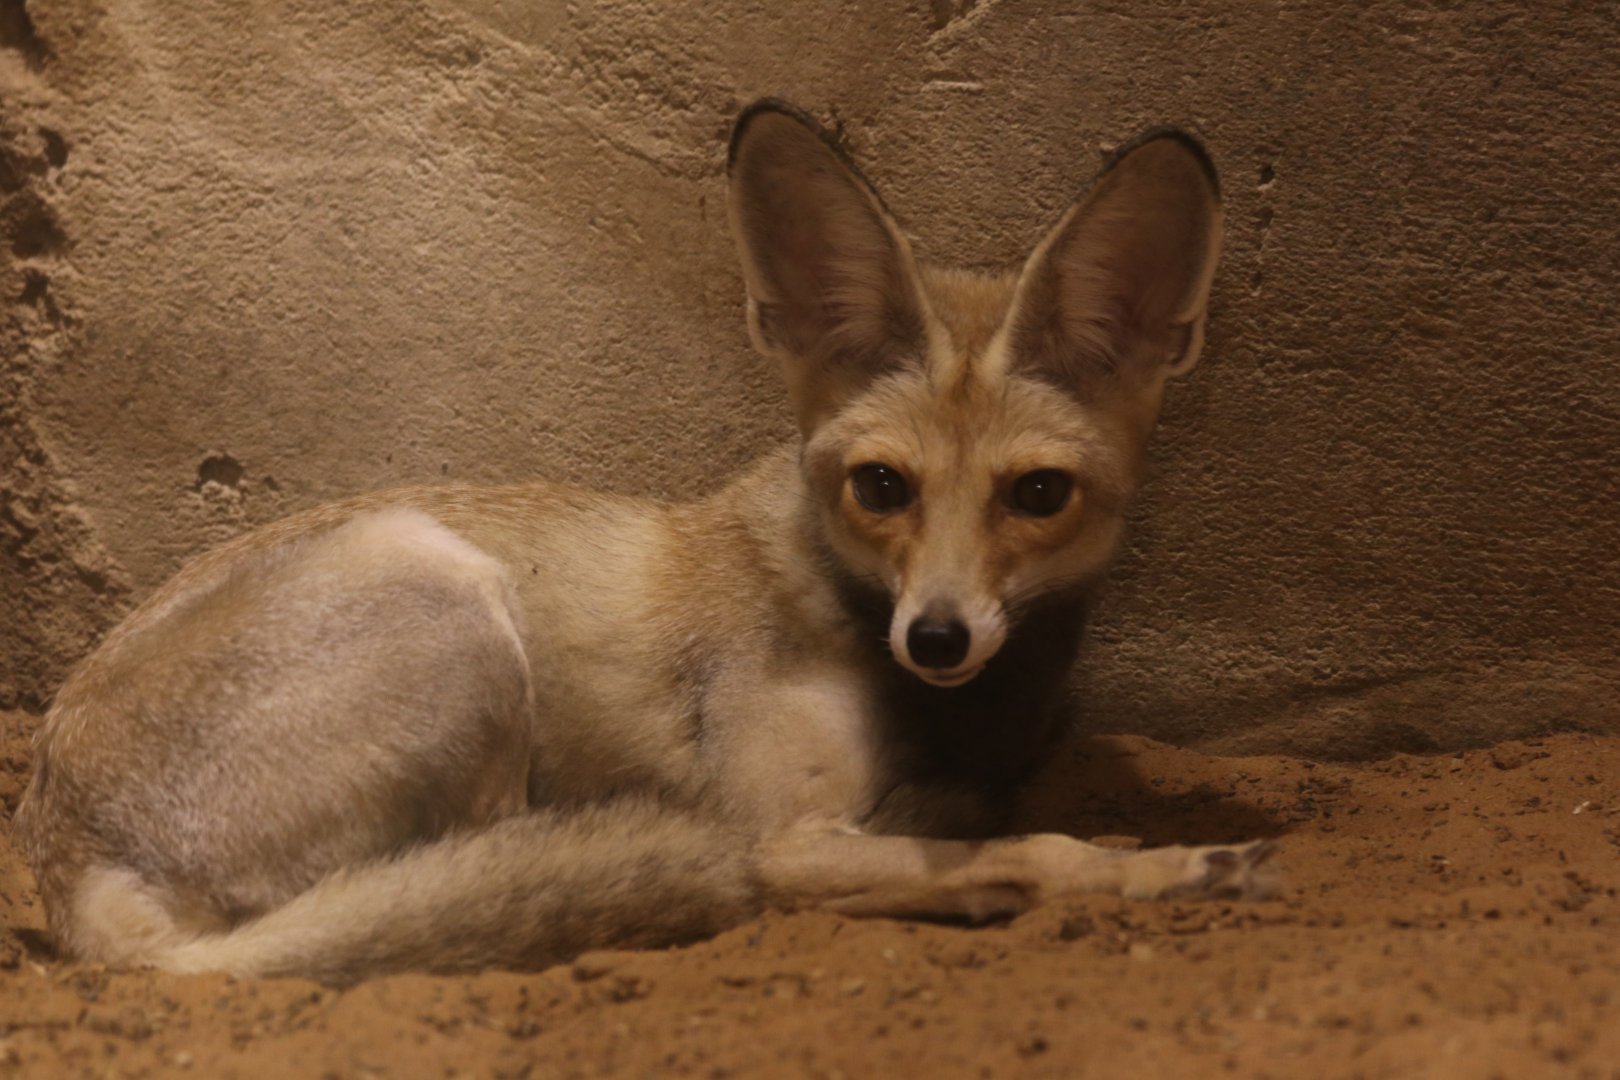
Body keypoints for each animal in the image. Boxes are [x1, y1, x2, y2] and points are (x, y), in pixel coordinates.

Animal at [14, 99, 1275, 985]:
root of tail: (60, 840)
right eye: (882, 487)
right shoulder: (781, 834)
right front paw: (1152, 868)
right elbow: (1032, 849)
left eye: (1038, 494)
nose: (939, 635)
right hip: (450, 596)